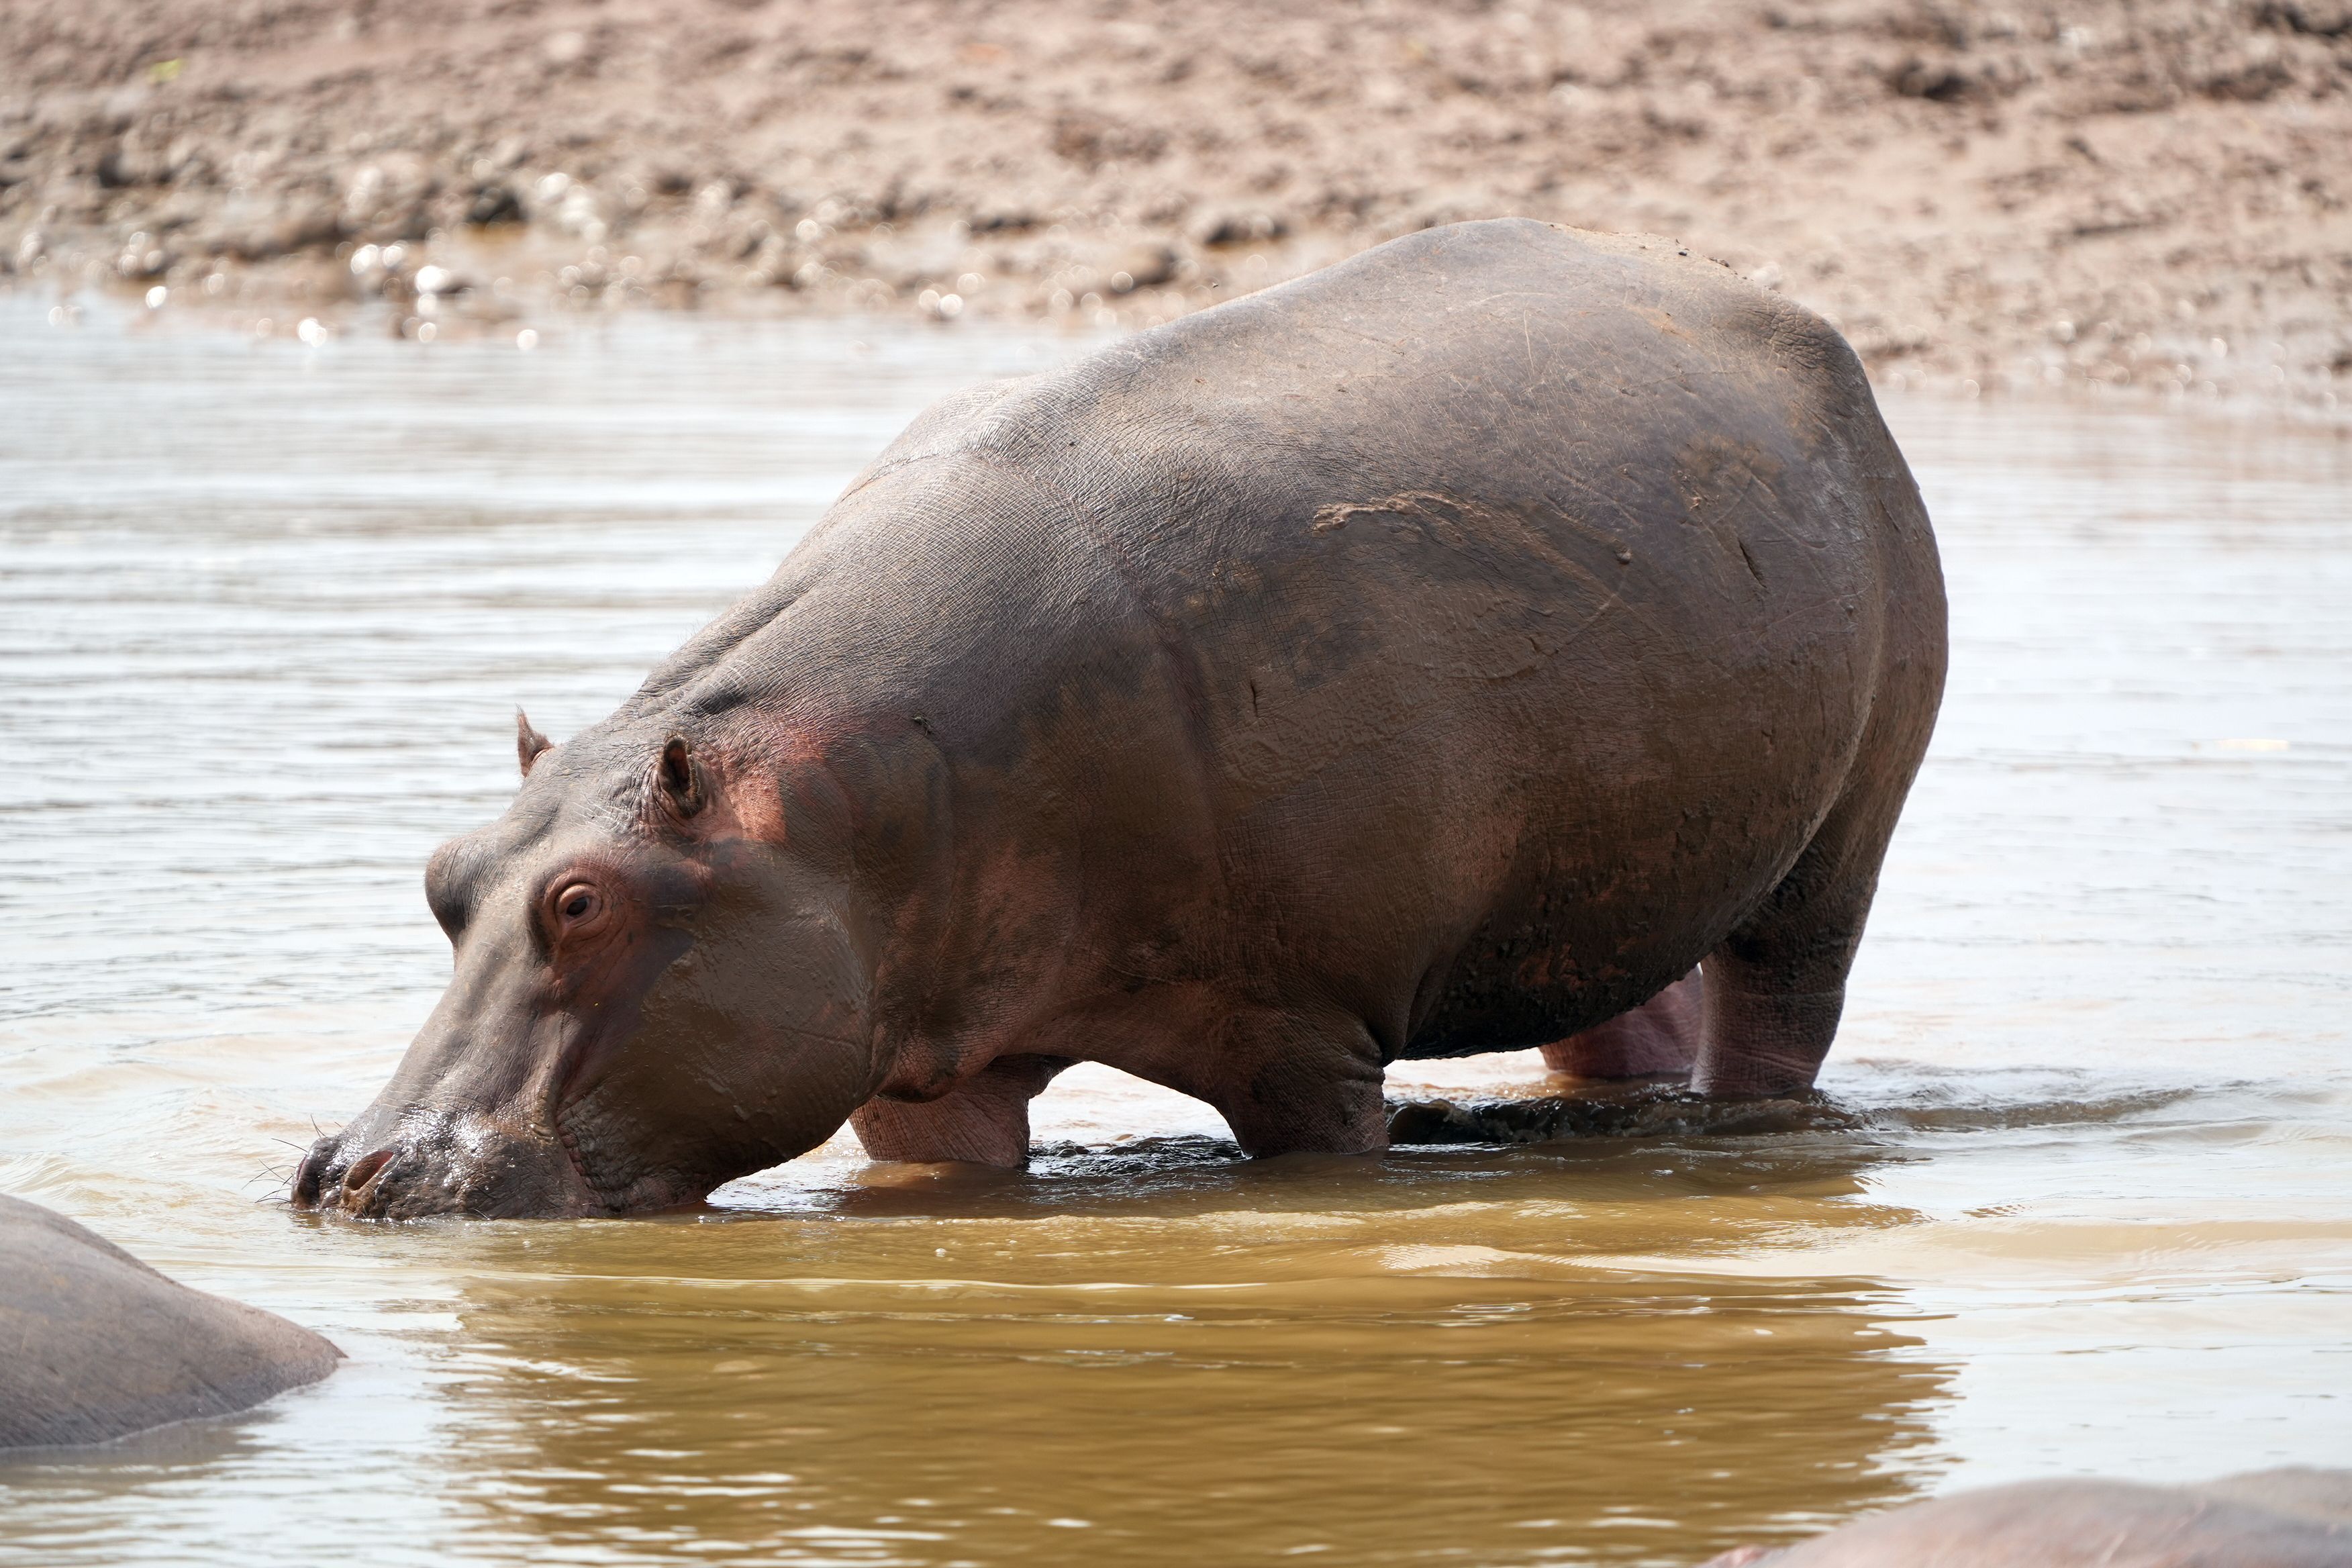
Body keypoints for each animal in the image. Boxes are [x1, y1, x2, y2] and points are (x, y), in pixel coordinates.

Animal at [294, 216, 1946, 1219]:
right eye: (443, 875)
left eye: (580, 902)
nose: (354, 1170)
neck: (833, 805)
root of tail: (1793, 318)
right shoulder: (923, 1068)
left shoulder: (1306, 1039)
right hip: (1611, 872)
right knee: (1617, 1017)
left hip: (1837, 846)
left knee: (1782, 1008)